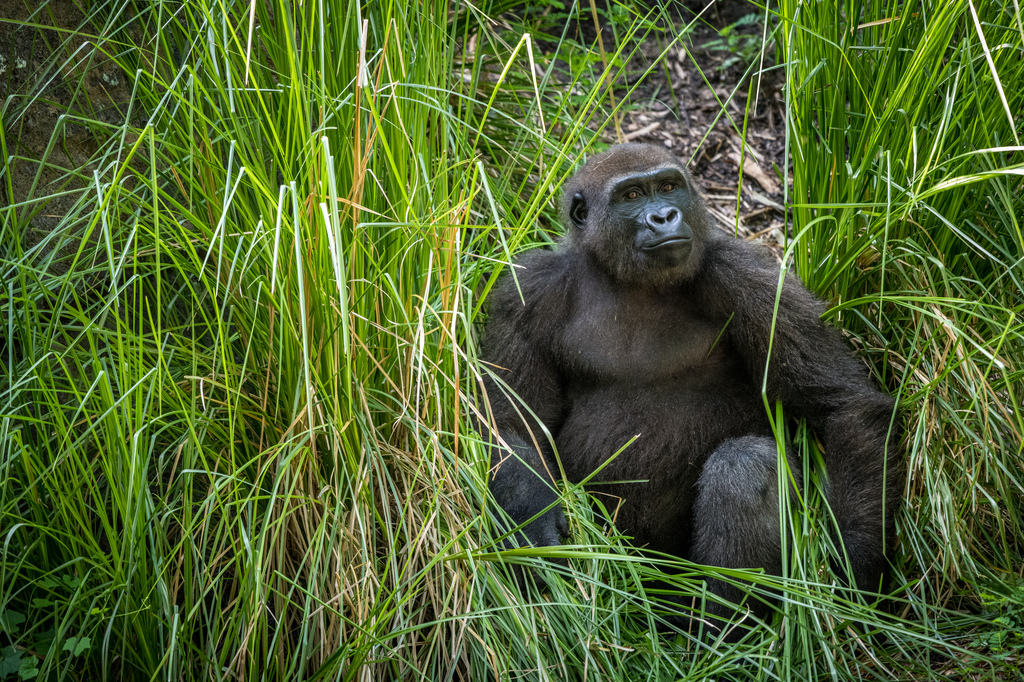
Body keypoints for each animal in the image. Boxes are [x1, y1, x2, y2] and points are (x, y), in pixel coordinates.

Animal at [475, 142, 901, 626]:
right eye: (632, 195)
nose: (664, 216)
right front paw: (533, 521)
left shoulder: (749, 278)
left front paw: (856, 564)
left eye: (668, 187)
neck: (624, 279)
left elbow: (842, 405)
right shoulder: (526, 291)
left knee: (746, 466)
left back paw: (721, 626)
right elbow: (513, 423)